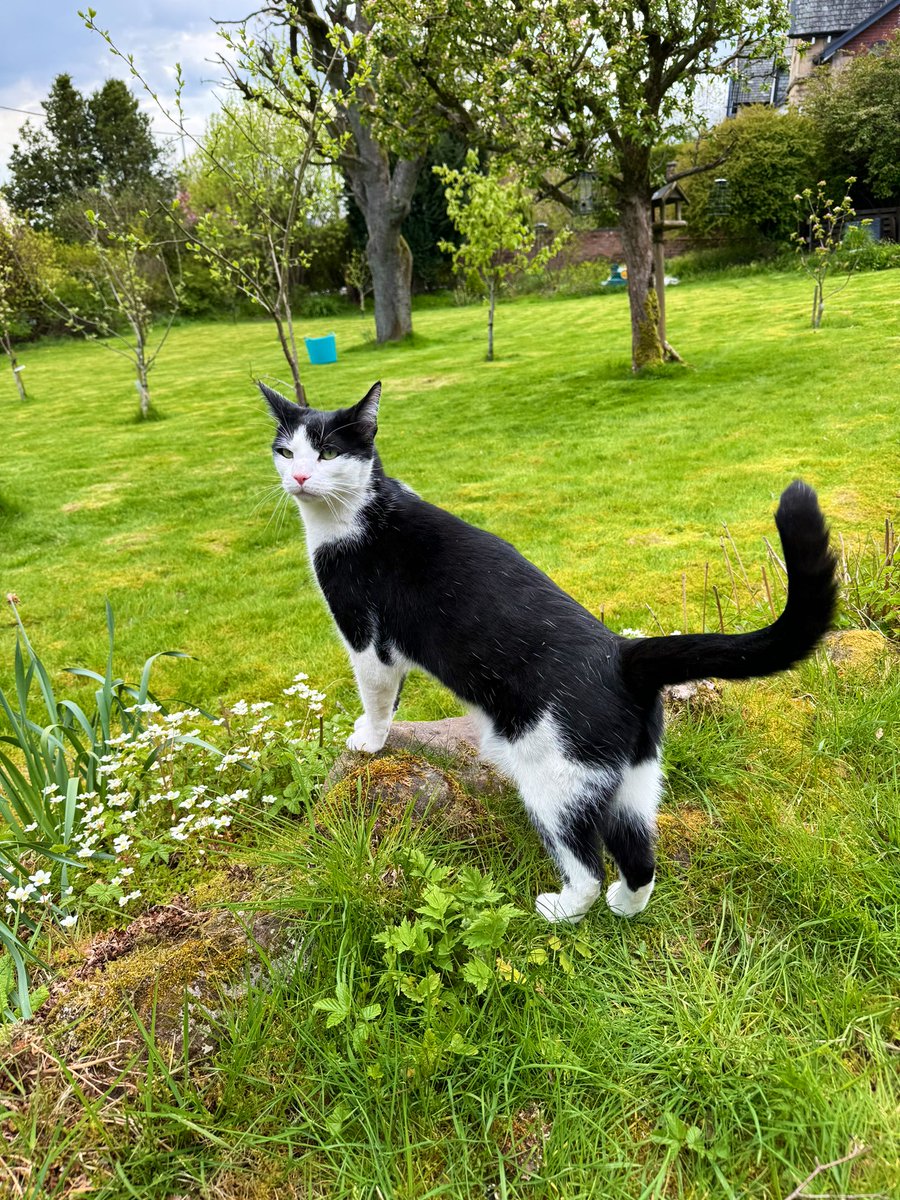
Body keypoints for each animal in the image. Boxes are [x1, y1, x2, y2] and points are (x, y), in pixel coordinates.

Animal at [260, 379, 840, 921]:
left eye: (328, 453)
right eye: (286, 451)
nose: (299, 478)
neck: (360, 511)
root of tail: (622, 656)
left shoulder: (366, 635)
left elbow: (378, 695)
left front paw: (368, 740)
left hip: (553, 777)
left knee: (586, 865)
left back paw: (562, 910)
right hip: (634, 777)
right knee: (639, 856)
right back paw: (625, 906)